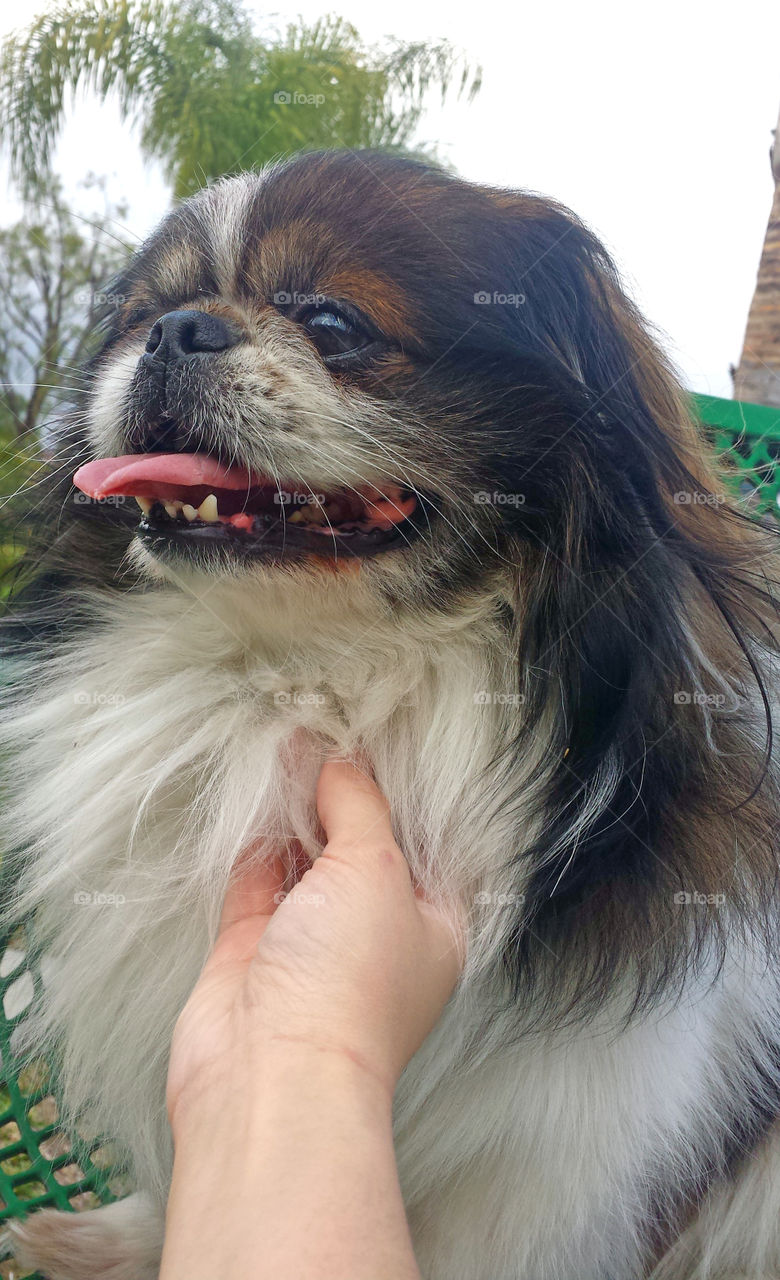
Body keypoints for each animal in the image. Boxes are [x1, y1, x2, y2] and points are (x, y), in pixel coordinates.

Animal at [1, 149, 778, 1280]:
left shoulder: (536, 1177)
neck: (304, 675)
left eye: (332, 322)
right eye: (142, 315)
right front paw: (116, 1238)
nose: (178, 330)